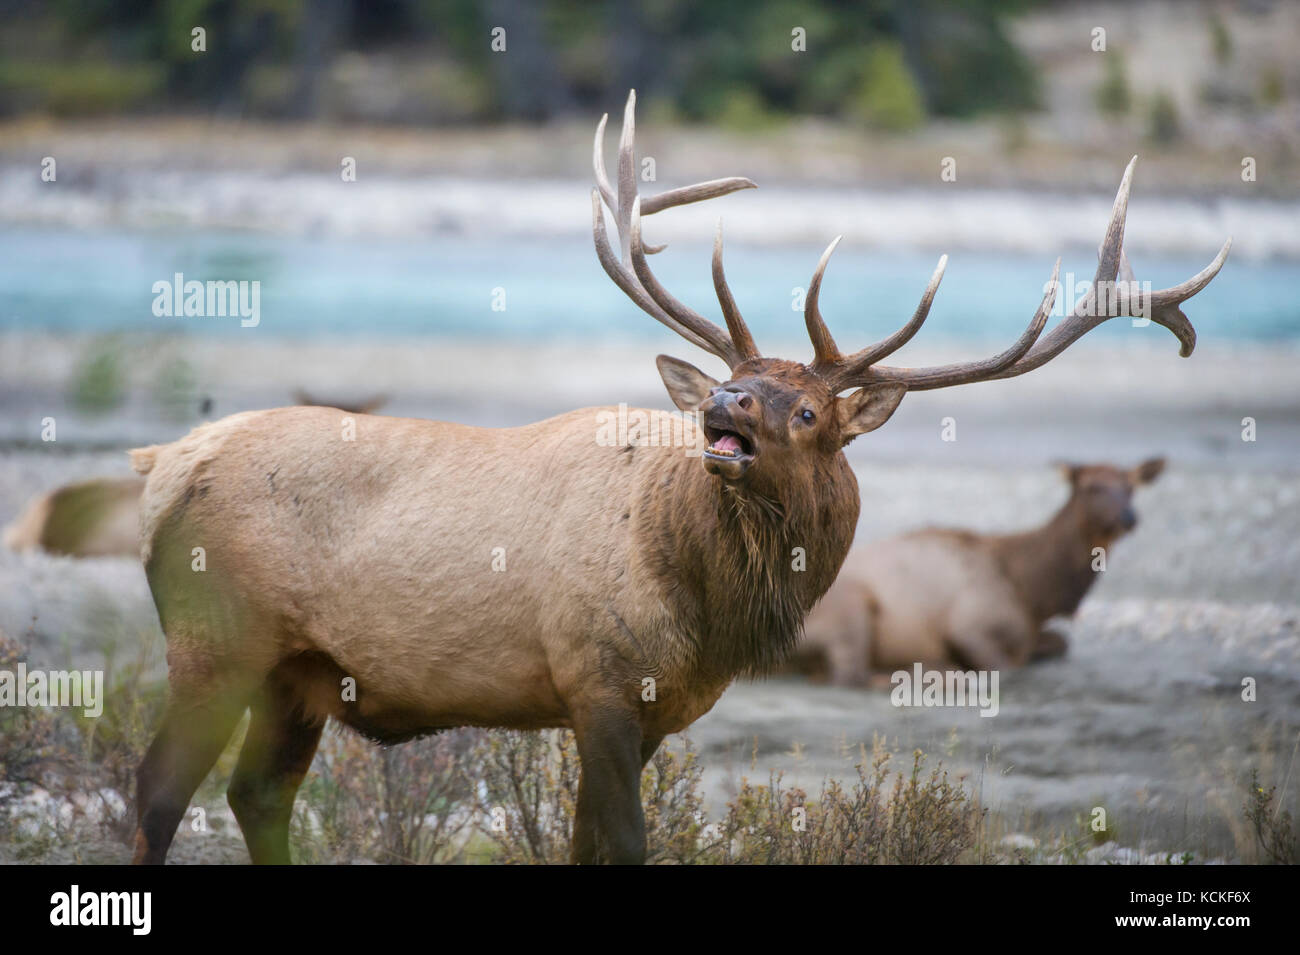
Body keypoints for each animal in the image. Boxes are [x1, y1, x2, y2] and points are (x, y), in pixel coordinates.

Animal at [790, 459, 1170, 686]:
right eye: (1092, 487)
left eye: (1132, 487)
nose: (1128, 518)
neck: (1033, 595)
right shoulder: (969, 624)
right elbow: (1006, 666)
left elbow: (1061, 643)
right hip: (849, 609)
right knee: (852, 675)